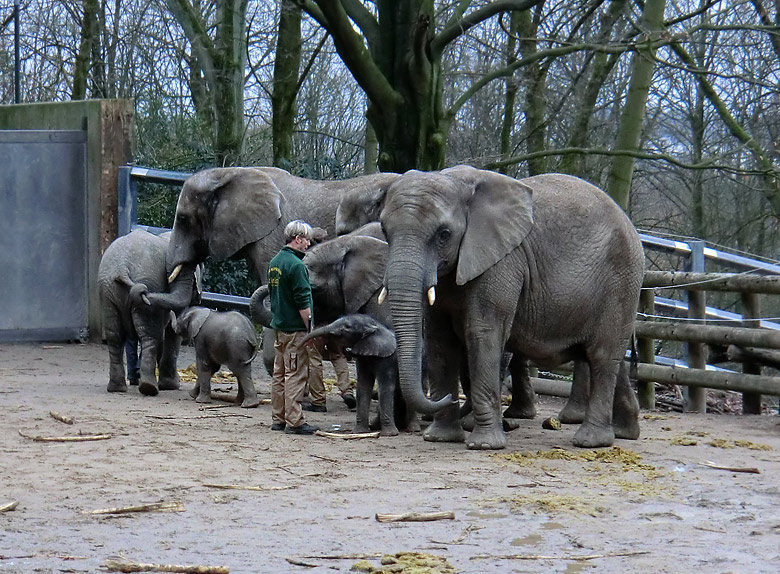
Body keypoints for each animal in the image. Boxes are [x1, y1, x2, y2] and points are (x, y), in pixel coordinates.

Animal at [97, 230, 200, 396]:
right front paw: (171, 386)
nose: (142, 292)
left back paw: (118, 388)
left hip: (107, 290)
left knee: (115, 337)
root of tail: (122, 268)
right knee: (151, 337)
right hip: (145, 284)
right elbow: (172, 332)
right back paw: (149, 388)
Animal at [374, 169, 644, 452]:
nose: (450, 397)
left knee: (602, 355)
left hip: (621, 282)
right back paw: (624, 432)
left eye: (444, 234)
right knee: (606, 357)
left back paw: (590, 441)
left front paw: (484, 445)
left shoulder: (502, 262)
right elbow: (440, 339)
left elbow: (483, 333)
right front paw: (440, 438)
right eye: (384, 230)